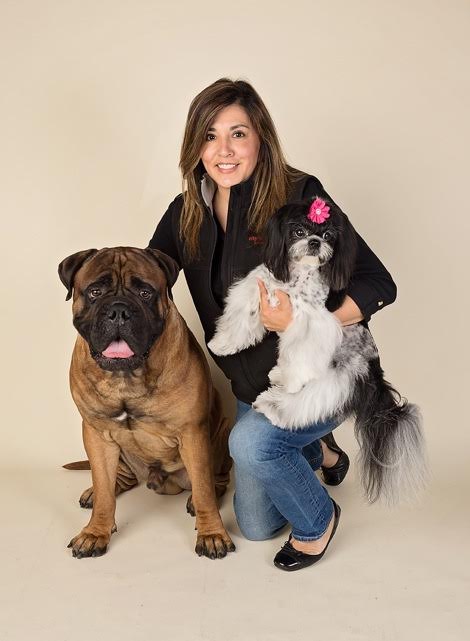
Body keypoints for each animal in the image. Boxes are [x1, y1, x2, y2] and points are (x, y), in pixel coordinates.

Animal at [209, 196, 426, 504]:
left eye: (329, 235)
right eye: (299, 231)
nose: (314, 242)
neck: (297, 277)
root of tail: (375, 375)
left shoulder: (311, 324)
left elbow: (297, 357)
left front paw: (289, 381)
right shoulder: (258, 284)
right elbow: (241, 315)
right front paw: (222, 343)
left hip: (336, 378)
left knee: (304, 402)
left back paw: (274, 403)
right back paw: (276, 377)